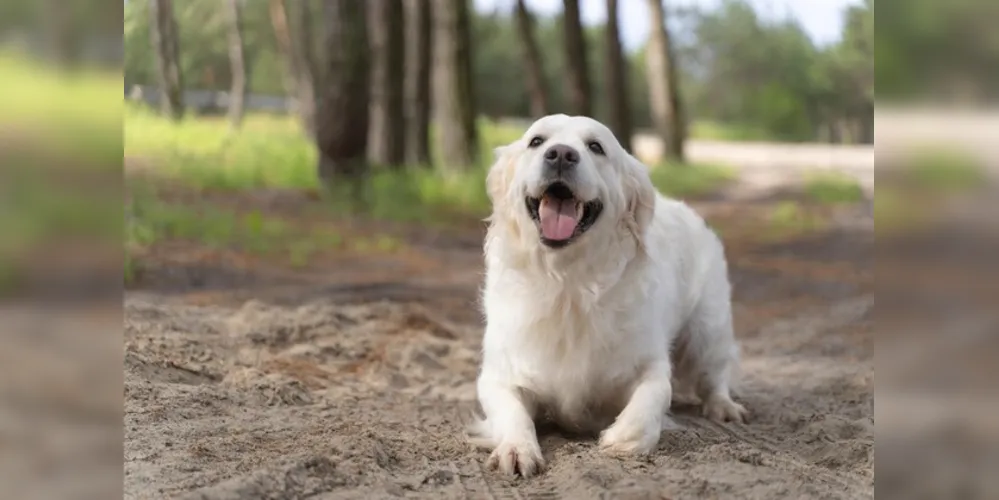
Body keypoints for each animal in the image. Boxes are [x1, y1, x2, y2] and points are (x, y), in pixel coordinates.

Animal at [470, 113, 752, 476]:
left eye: (595, 147)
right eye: (537, 141)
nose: (560, 154)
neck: (568, 284)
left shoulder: (648, 361)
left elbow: (655, 394)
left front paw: (623, 437)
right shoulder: (500, 373)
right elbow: (512, 412)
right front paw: (517, 448)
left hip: (707, 330)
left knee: (714, 374)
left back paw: (724, 407)